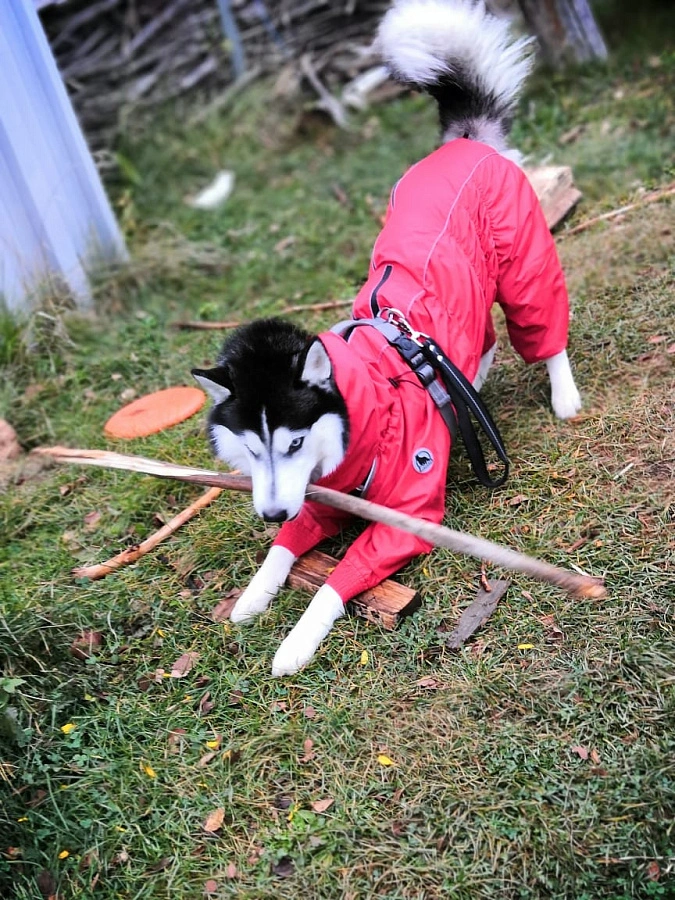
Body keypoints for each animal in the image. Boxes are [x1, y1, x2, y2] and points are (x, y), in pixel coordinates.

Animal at [194, 0, 580, 676]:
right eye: (252, 447)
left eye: (294, 443)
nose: (269, 511)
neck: (366, 404)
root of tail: (465, 143)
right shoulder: (317, 499)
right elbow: (283, 550)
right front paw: (253, 596)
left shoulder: (407, 518)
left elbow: (332, 581)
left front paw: (296, 642)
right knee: (479, 339)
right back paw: (465, 387)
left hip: (523, 263)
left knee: (542, 325)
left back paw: (561, 396)